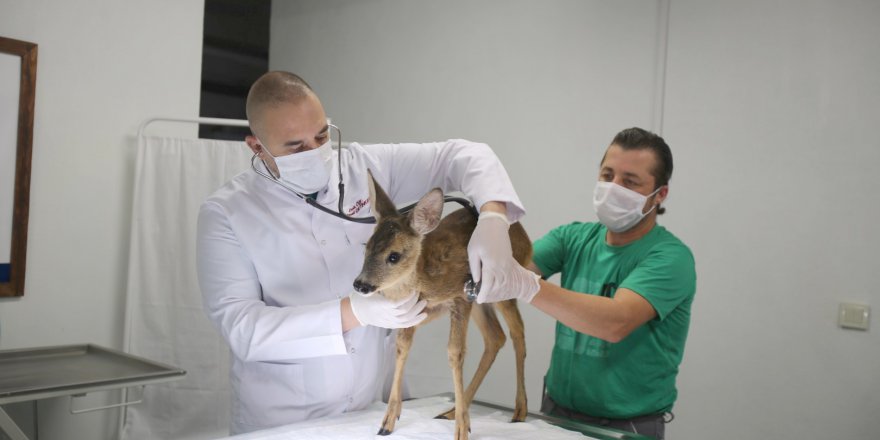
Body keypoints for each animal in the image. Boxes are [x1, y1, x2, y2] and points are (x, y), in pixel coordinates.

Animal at [352, 172, 532, 440]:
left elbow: (455, 352)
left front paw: (462, 430)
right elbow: (402, 347)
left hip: (502, 286)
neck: (425, 277)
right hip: (481, 301)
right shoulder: (418, 310)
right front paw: (388, 420)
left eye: (394, 256)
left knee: (517, 331)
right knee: (496, 337)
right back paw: (454, 410)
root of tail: (526, 240)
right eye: (366, 248)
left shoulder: (460, 297)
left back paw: (519, 411)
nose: (360, 284)